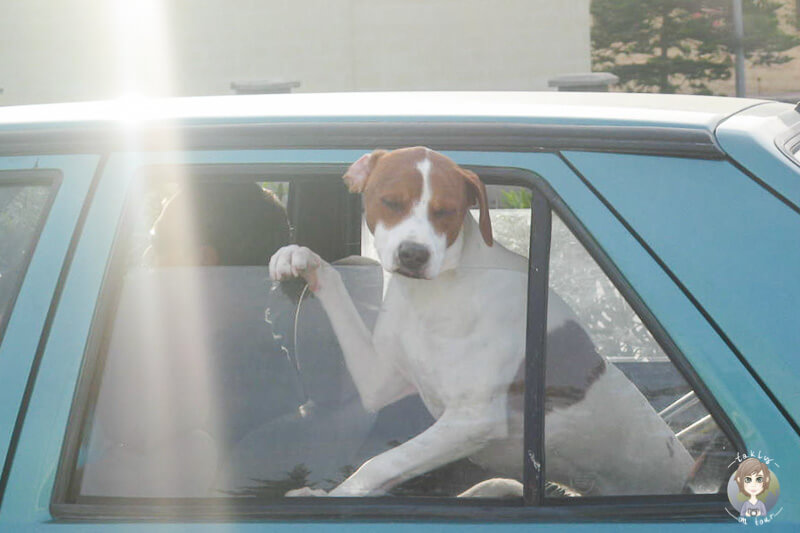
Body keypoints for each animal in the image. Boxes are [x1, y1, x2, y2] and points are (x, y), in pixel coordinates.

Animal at [268, 144, 692, 494]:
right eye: (390, 201)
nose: (413, 254)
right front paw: (301, 258)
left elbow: (379, 464)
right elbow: (334, 282)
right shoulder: (376, 382)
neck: (436, 294)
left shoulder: (472, 419)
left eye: (445, 211)